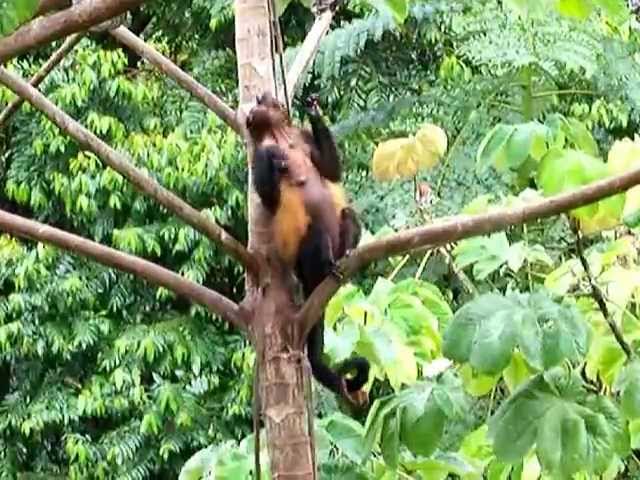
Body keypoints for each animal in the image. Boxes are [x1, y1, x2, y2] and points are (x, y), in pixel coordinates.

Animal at [246, 92, 370, 405]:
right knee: (316, 231)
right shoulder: (258, 154)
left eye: (263, 99)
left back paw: (345, 255)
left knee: (347, 214)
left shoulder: (301, 135)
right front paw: (274, 160)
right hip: (303, 263)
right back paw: (326, 267)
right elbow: (268, 194)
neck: (279, 136)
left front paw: (314, 111)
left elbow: (332, 170)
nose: (260, 97)